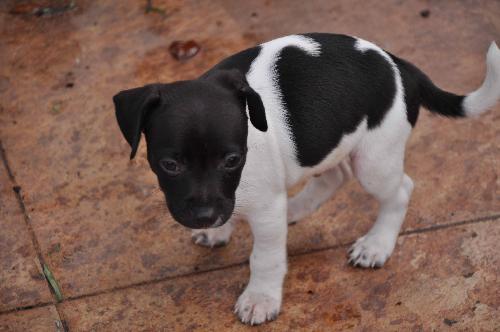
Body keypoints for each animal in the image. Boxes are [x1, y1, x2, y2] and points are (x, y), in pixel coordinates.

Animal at [113, 33, 500, 324]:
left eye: (232, 160)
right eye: (170, 165)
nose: (205, 216)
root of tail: (398, 64)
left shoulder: (262, 208)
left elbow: (265, 258)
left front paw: (260, 298)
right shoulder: (233, 196)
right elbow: (232, 206)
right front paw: (219, 229)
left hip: (374, 159)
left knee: (400, 190)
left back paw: (377, 245)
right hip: (328, 140)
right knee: (334, 177)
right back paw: (296, 209)